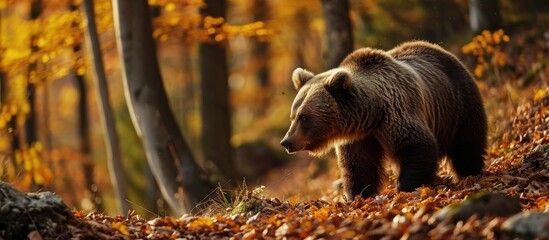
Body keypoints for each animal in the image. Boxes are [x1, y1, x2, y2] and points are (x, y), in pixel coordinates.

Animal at [280, 40, 486, 199]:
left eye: (304, 117)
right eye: (293, 116)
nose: (286, 142)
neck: (371, 114)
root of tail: (444, 51)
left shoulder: (397, 114)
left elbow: (417, 146)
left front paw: (405, 187)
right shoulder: (359, 138)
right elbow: (359, 166)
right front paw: (357, 195)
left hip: (459, 104)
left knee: (466, 144)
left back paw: (470, 172)